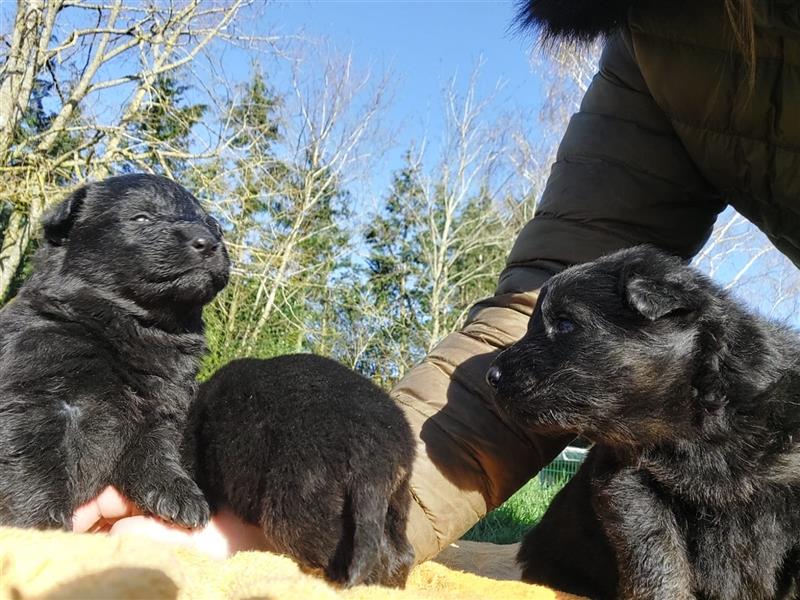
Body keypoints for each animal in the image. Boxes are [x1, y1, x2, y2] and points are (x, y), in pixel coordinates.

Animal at [0, 173, 230, 528]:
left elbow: (158, 451)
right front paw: (41, 527)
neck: (130, 324)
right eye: (142, 218)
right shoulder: (31, 399)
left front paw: (180, 494)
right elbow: (34, 467)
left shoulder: (161, 406)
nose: (207, 241)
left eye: (214, 227)